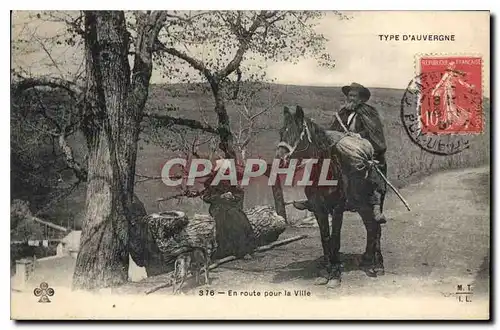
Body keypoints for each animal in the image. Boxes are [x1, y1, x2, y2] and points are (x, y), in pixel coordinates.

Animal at [276, 104, 384, 288]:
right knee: (371, 226)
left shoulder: (337, 209)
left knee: (377, 226)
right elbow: (325, 238)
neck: (324, 173)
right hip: (361, 205)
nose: (280, 158)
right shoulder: (319, 209)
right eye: (282, 131)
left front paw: (335, 275)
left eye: (298, 132)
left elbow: (335, 238)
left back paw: (378, 264)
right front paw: (326, 271)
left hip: (371, 202)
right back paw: (367, 259)